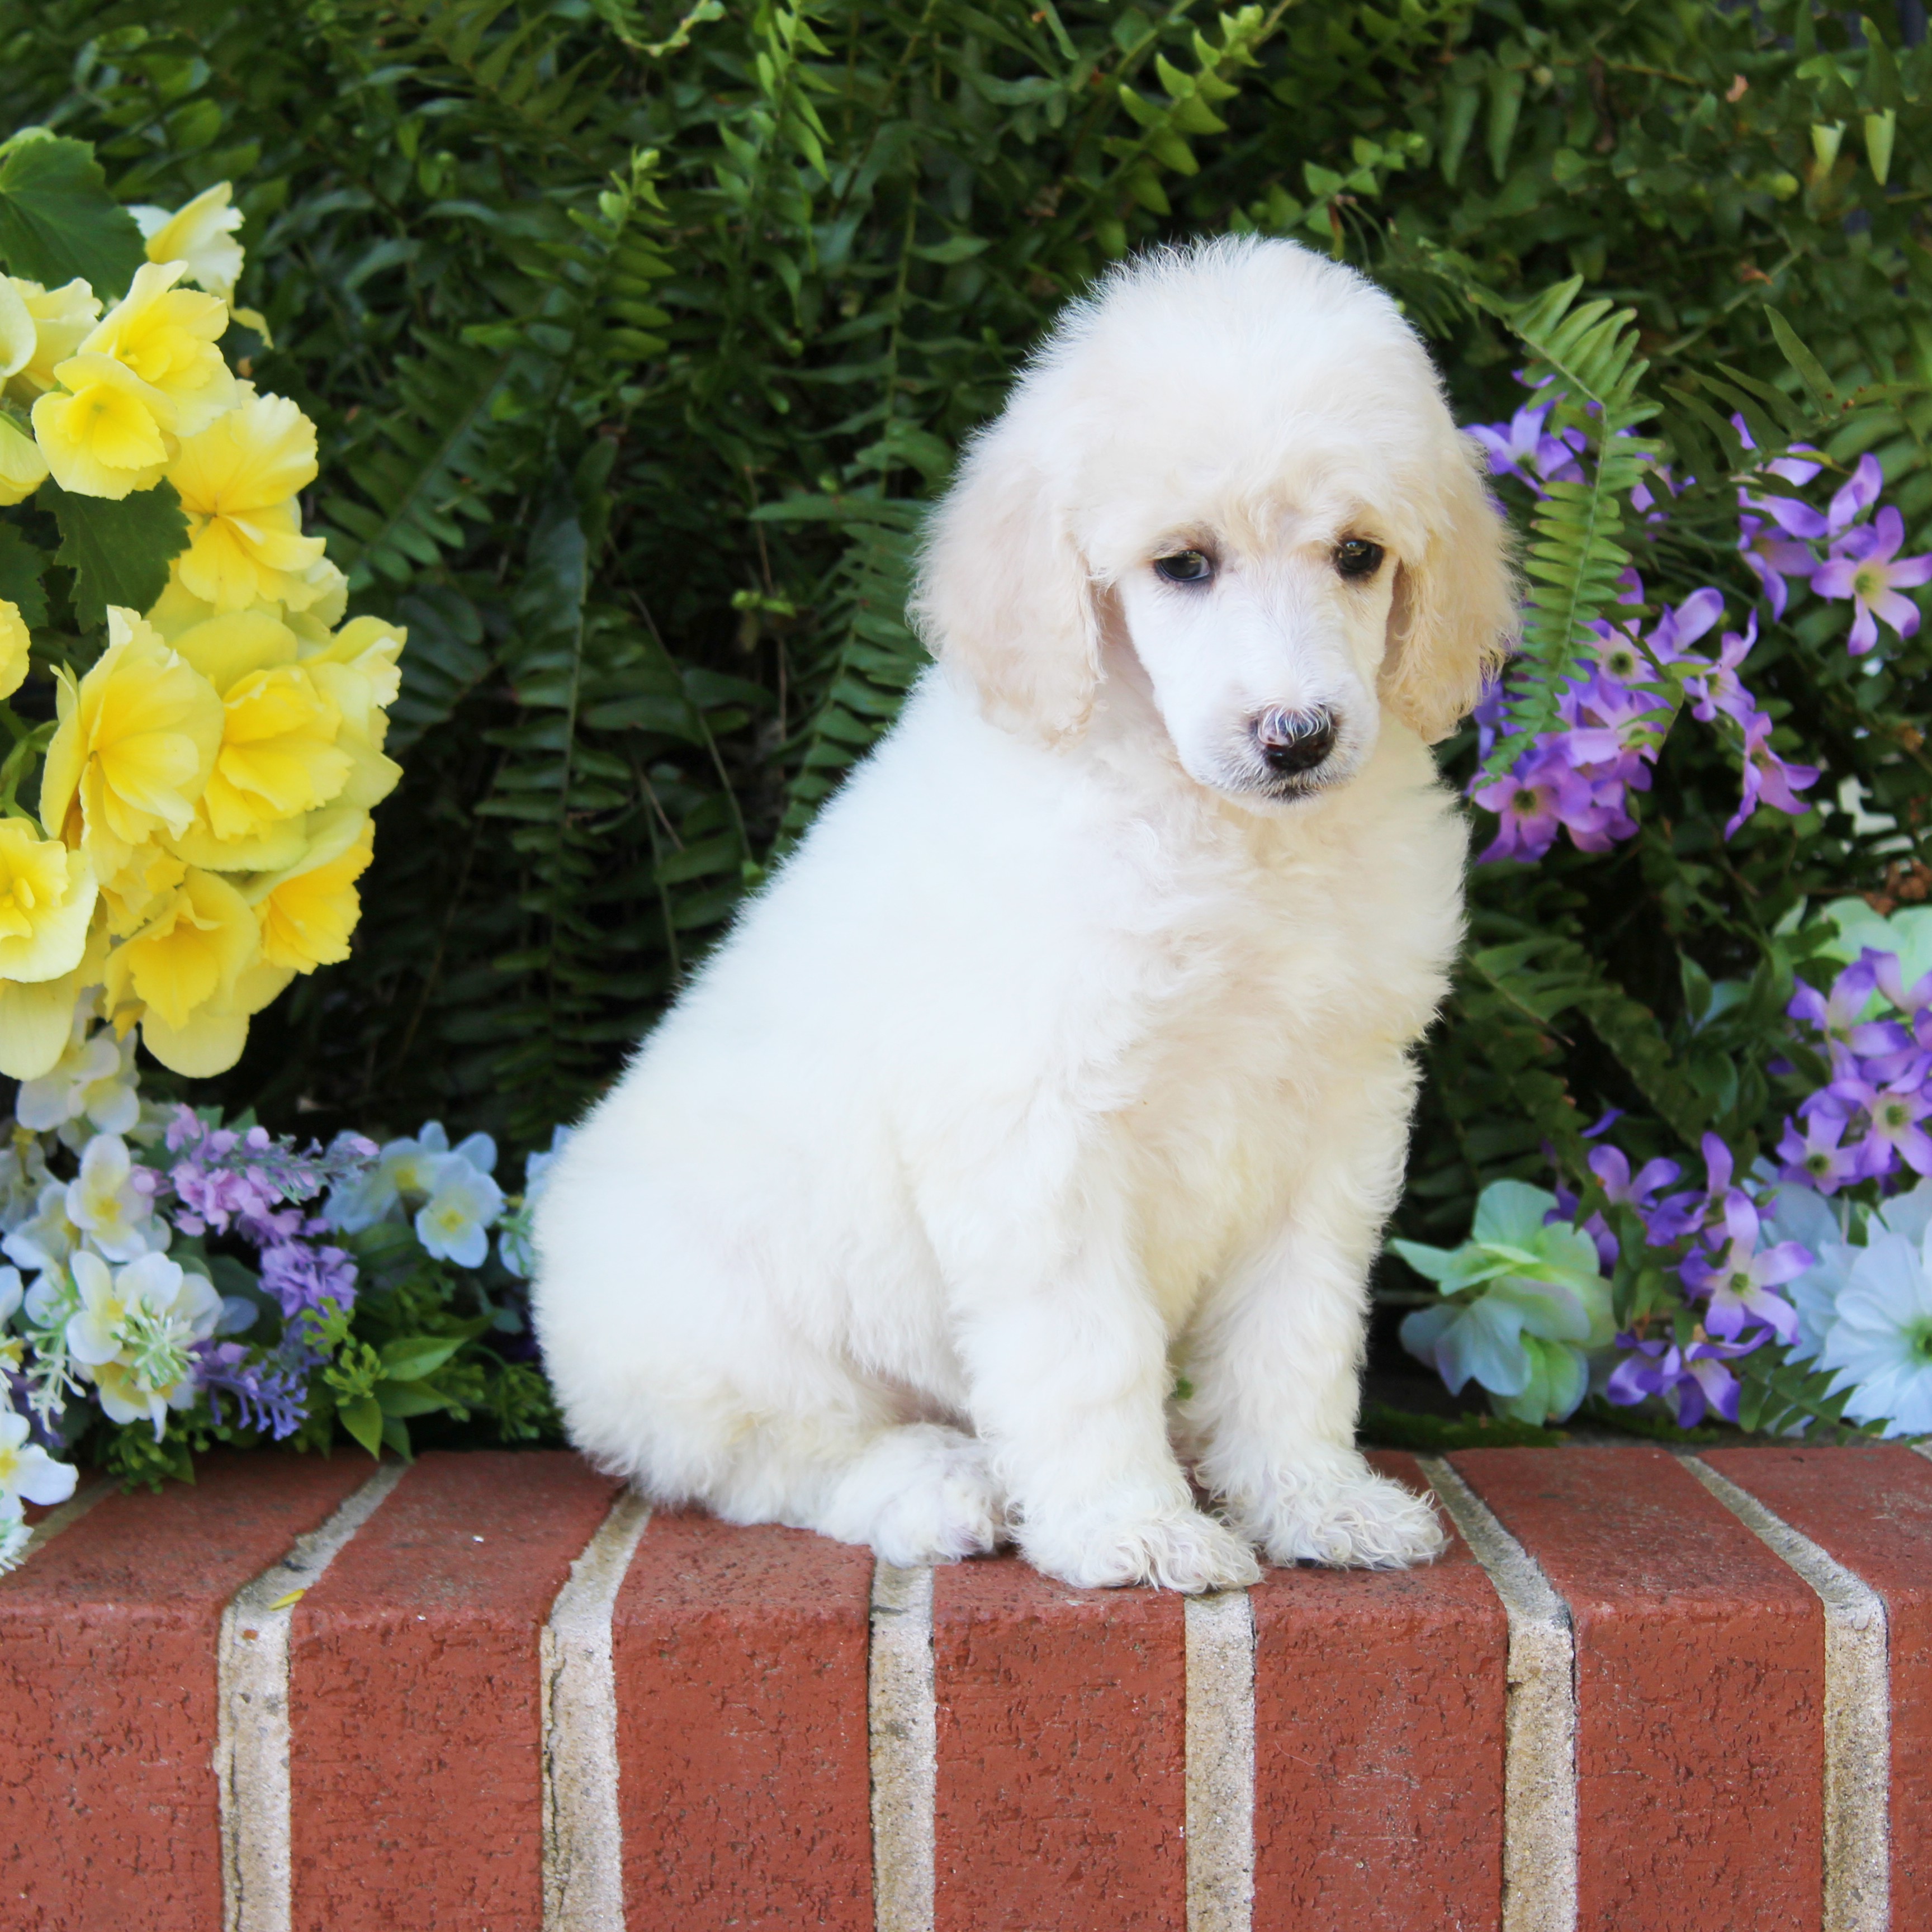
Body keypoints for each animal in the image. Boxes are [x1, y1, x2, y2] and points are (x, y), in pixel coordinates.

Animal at [529, 234, 1507, 1592]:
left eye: (1358, 555)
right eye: (1182, 565)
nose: (1299, 736)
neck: (1228, 836)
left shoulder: (1336, 1115)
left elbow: (1297, 1337)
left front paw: (1316, 1502)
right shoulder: (1038, 1126)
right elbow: (1086, 1351)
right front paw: (1131, 1529)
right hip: (716, 1330)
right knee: (777, 1458)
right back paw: (941, 1487)